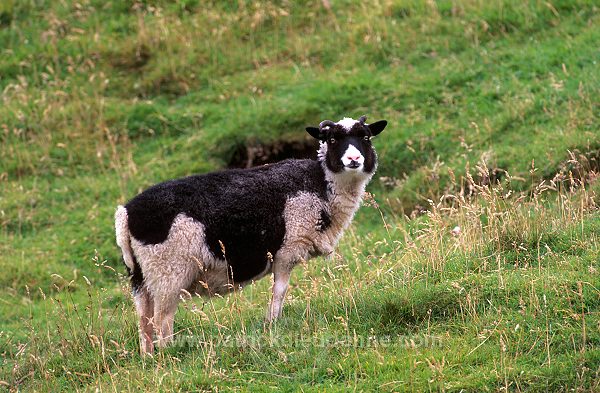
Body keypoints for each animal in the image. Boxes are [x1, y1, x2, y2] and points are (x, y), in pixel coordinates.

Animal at [116, 114, 390, 352]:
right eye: (332, 139)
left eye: (366, 138)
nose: (354, 159)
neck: (320, 184)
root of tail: (126, 214)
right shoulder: (287, 251)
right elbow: (280, 292)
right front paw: (272, 324)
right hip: (168, 271)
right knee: (162, 318)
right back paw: (169, 352)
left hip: (141, 276)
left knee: (144, 319)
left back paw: (149, 356)